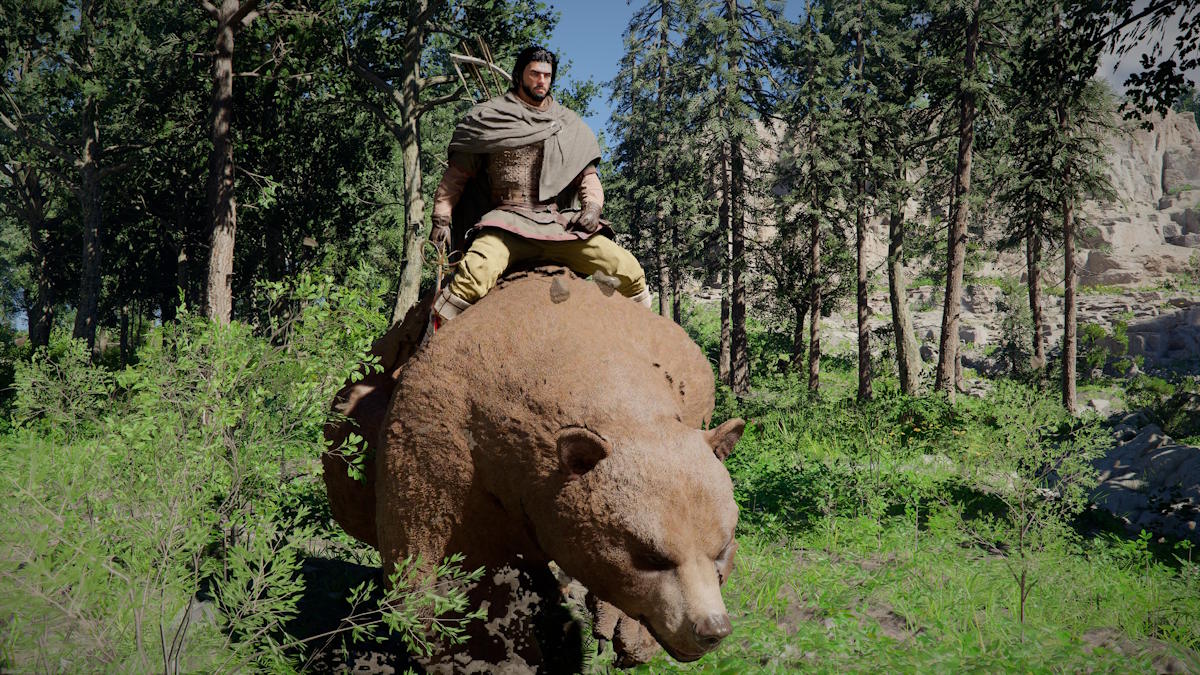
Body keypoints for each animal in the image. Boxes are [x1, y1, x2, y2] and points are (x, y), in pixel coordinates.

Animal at [323, 268, 744, 669]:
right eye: (650, 557)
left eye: (721, 549)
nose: (711, 629)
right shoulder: (441, 454)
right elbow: (442, 581)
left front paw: (626, 631)